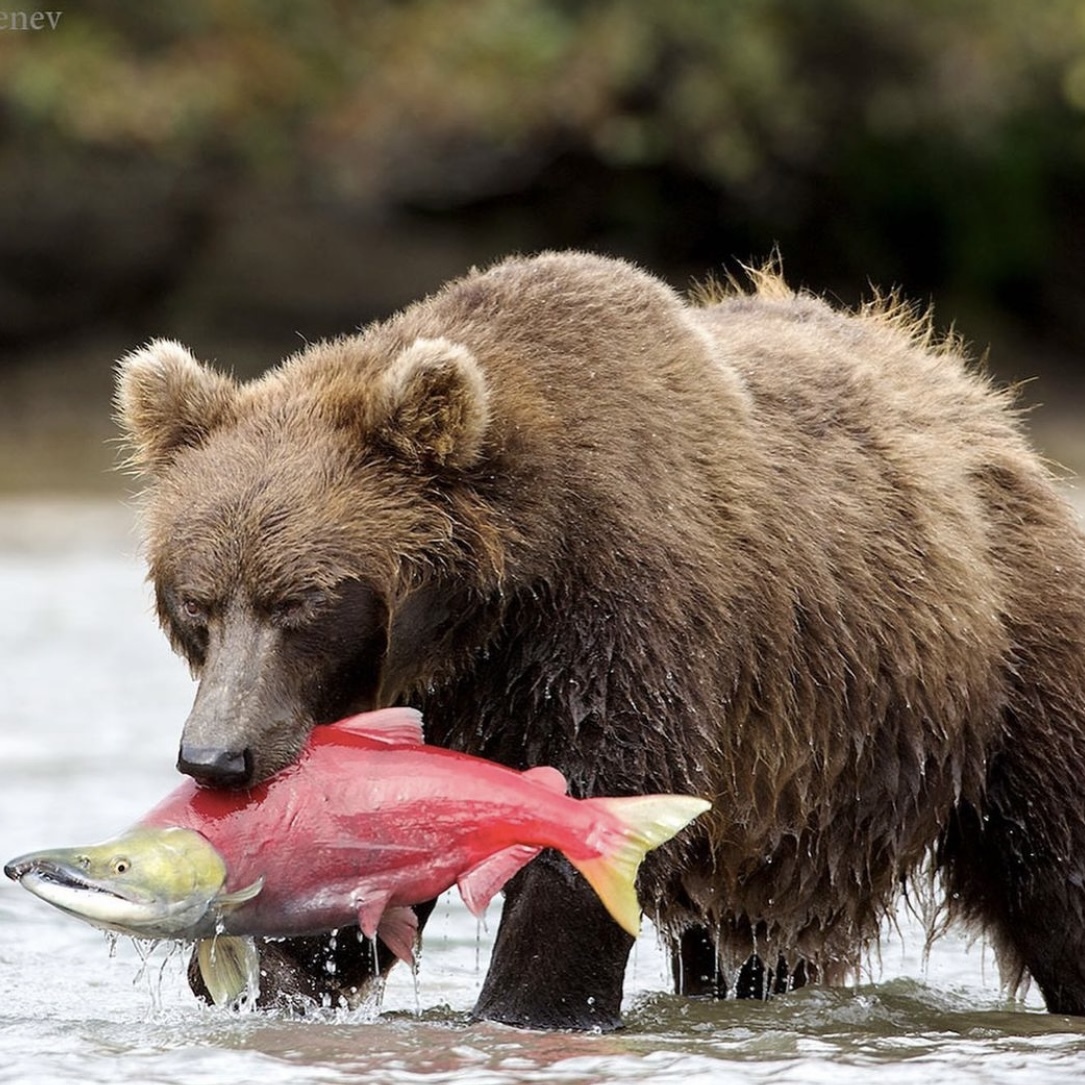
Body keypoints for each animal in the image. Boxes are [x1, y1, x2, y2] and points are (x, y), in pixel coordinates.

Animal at [118, 249, 1085, 1028]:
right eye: (197, 601)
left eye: (304, 602)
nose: (216, 756)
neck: (490, 607)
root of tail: (970, 392)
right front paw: (280, 973)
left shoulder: (623, 622)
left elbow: (591, 818)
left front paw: (521, 1006)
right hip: (800, 799)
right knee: (750, 937)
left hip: (997, 666)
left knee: (1052, 858)